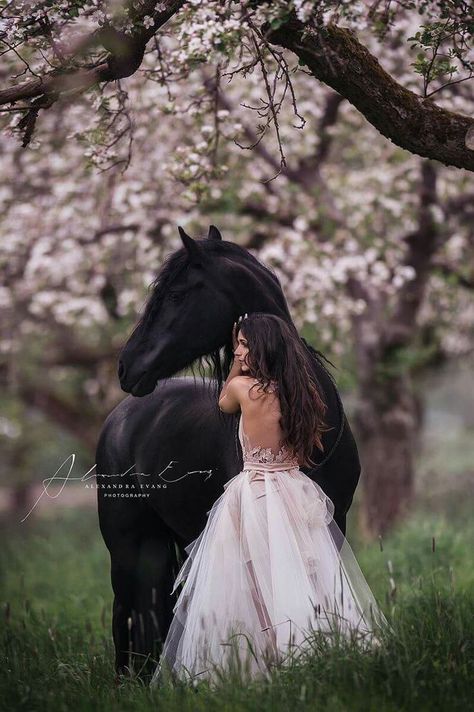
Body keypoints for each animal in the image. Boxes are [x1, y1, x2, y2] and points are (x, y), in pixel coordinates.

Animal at [98, 222, 362, 680]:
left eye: (175, 295)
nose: (125, 367)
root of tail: (121, 416)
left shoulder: (333, 521)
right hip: (127, 545)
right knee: (127, 614)